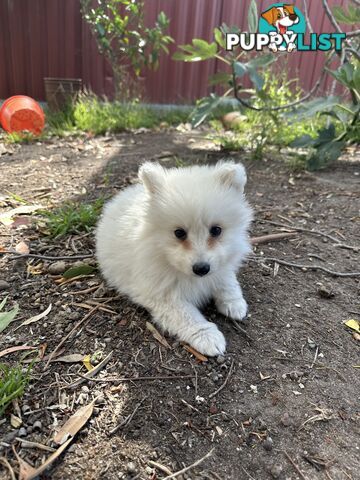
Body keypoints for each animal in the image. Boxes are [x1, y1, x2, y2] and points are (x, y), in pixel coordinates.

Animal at [95, 161, 253, 356]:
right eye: (179, 233)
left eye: (216, 230)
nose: (202, 268)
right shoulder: (162, 295)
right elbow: (187, 315)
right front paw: (208, 337)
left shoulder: (221, 265)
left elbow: (227, 281)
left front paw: (234, 303)